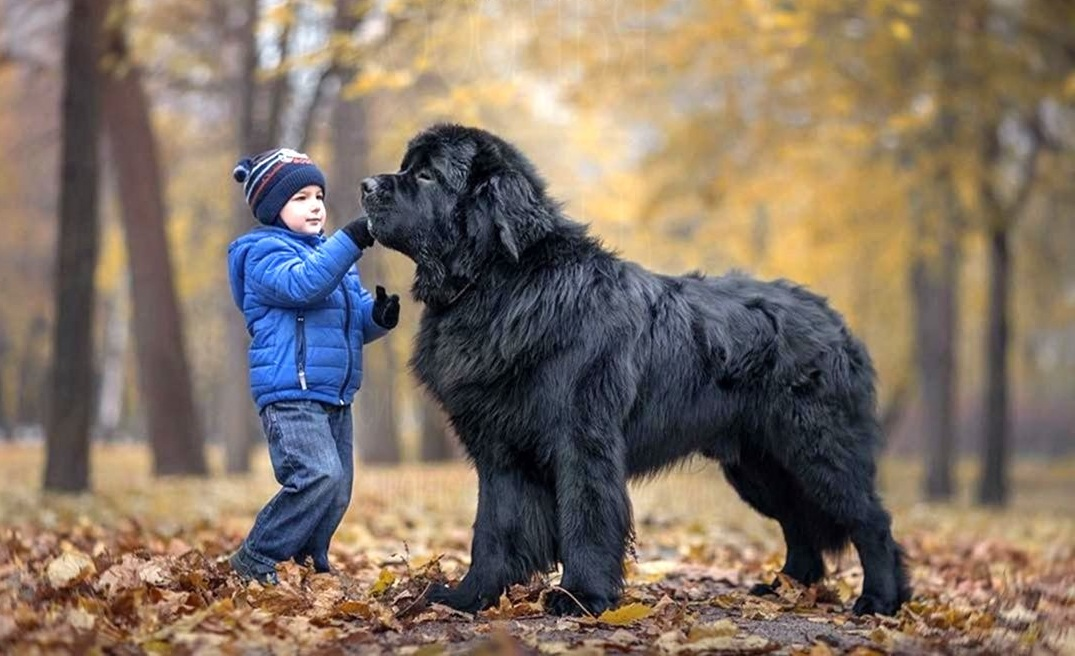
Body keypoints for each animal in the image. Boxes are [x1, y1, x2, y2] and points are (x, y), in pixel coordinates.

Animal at [359, 121, 907, 610]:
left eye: (427, 176)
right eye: (407, 168)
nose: (366, 185)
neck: (501, 284)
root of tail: (832, 317)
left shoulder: (582, 440)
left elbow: (585, 516)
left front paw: (580, 597)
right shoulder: (499, 450)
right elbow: (493, 529)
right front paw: (467, 597)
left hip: (816, 447)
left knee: (870, 520)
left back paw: (879, 600)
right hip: (758, 464)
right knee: (798, 522)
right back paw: (786, 589)